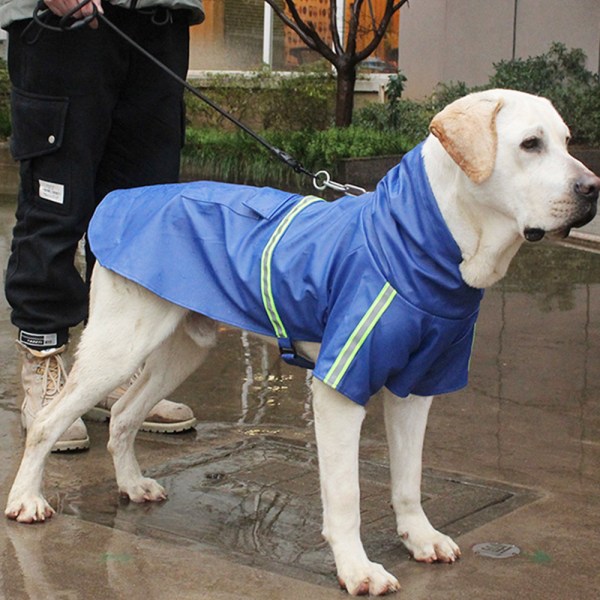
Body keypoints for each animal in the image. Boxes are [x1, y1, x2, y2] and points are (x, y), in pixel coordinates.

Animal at [4, 90, 600, 596]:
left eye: (568, 140)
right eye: (530, 144)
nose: (592, 188)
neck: (423, 242)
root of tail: (121, 200)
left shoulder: (416, 387)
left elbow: (409, 478)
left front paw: (419, 536)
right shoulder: (340, 388)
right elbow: (346, 494)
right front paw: (357, 569)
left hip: (182, 347)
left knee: (126, 413)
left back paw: (131, 484)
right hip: (118, 346)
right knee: (50, 421)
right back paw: (27, 498)